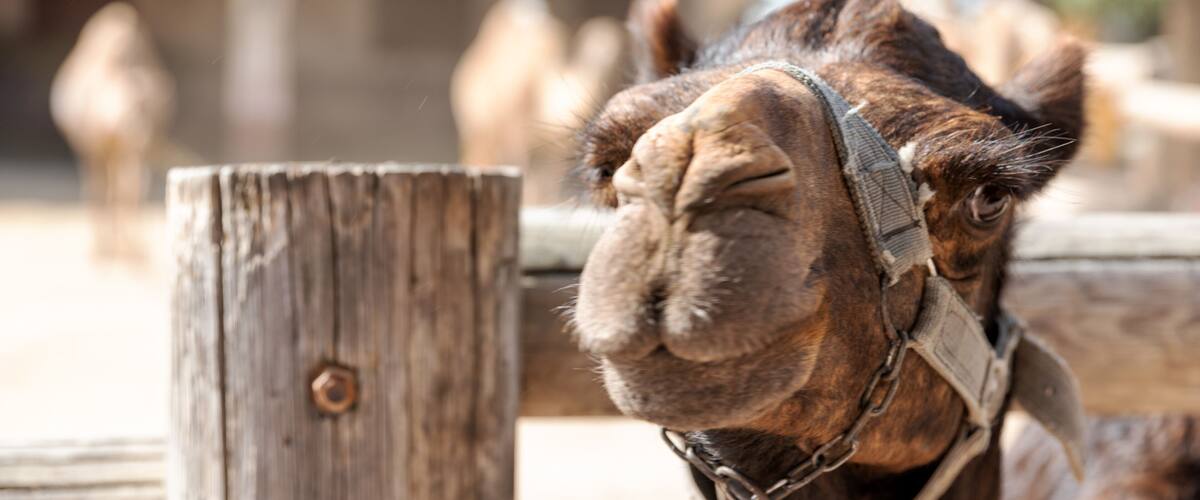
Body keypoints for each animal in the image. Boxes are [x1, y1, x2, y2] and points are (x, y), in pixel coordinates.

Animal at [51, 2, 173, 260]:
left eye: (148, 109)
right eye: (130, 113)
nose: (141, 132)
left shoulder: (133, 149)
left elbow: (130, 188)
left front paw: (130, 247)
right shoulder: (92, 146)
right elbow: (99, 187)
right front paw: (103, 249)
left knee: (122, 185)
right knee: (105, 184)